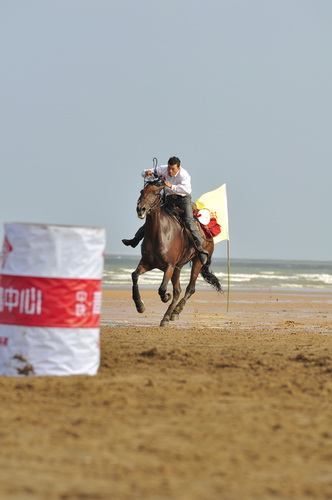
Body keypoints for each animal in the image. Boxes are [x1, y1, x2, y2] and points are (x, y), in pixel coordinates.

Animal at [131, 178, 222, 326]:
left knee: (190, 288)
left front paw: (165, 297)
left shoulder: (169, 266)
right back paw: (167, 317)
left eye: (155, 193)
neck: (160, 233)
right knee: (178, 291)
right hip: (178, 267)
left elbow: (162, 288)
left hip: (197, 262)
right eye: (141, 191)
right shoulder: (147, 263)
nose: (140, 209)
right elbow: (134, 275)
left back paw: (175, 312)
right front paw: (140, 305)